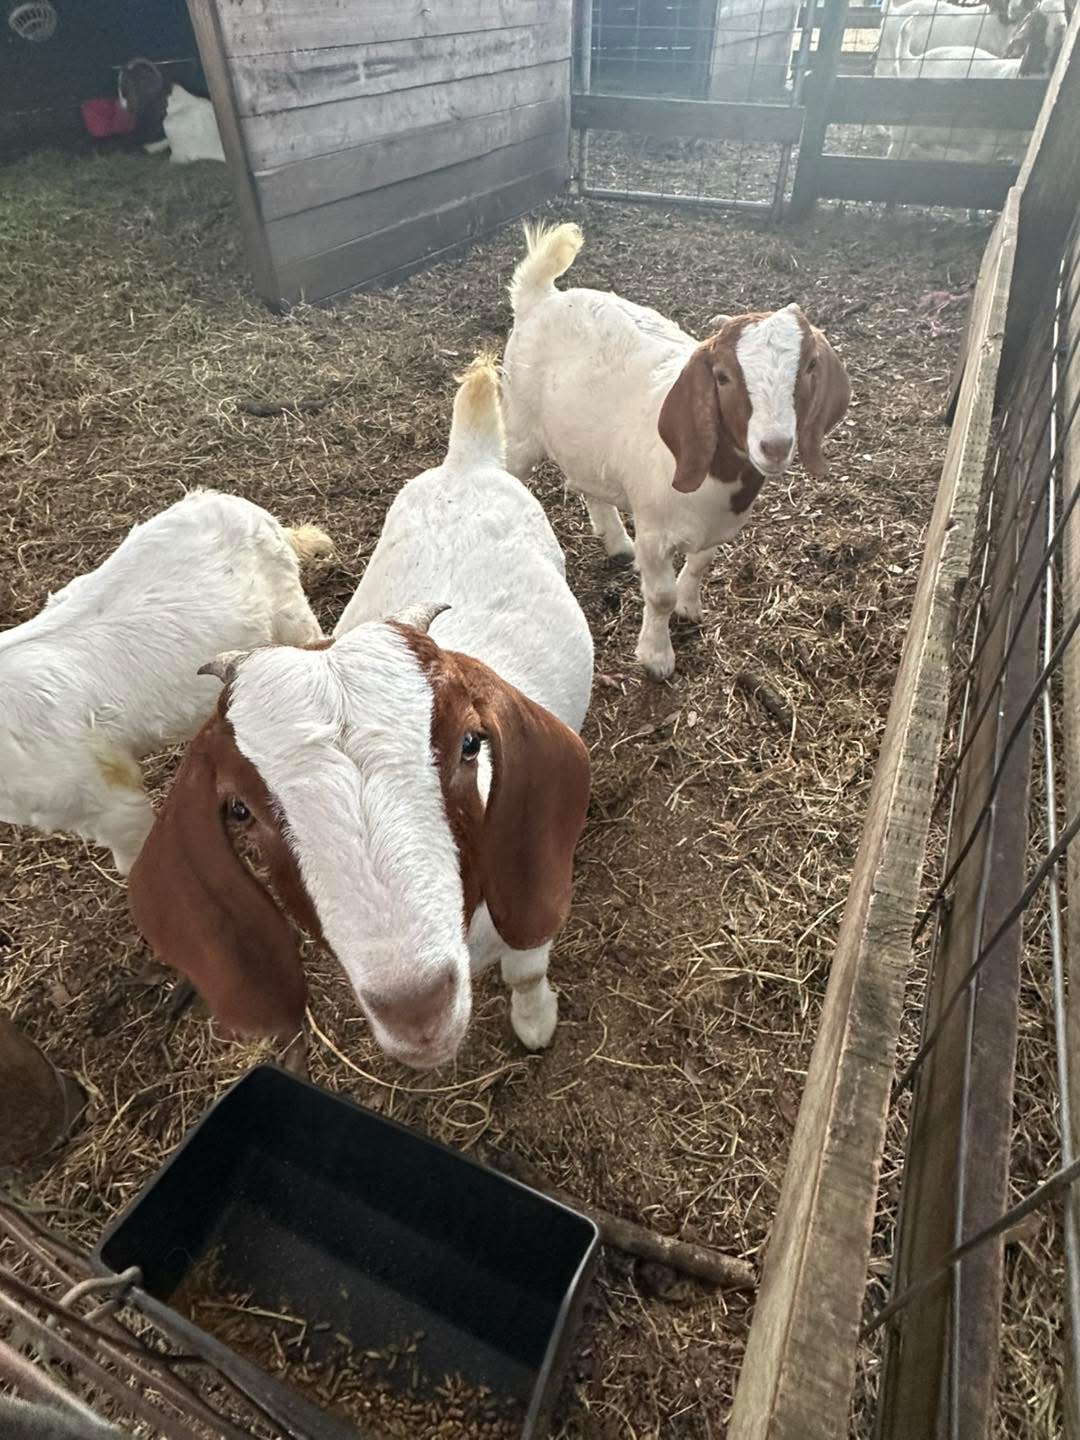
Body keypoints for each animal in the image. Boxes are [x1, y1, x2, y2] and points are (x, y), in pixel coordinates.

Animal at [128, 361, 593, 1071]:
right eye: (239, 809)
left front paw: (535, 1020)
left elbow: (528, 964)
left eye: (470, 743)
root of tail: (463, 463)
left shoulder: (530, 878)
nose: (416, 1009)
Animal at [501, 223, 850, 680]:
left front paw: (689, 607)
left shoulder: (719, 528)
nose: (774, 446)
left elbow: (700, 565)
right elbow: (660, 595)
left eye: (809, 366)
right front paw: (656, 656)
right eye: (722, 376)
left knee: (589, 483)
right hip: (521, 427)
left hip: (584, 439)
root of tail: (541, 297)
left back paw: (616, 541)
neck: (718, 481)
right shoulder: (653, 531)